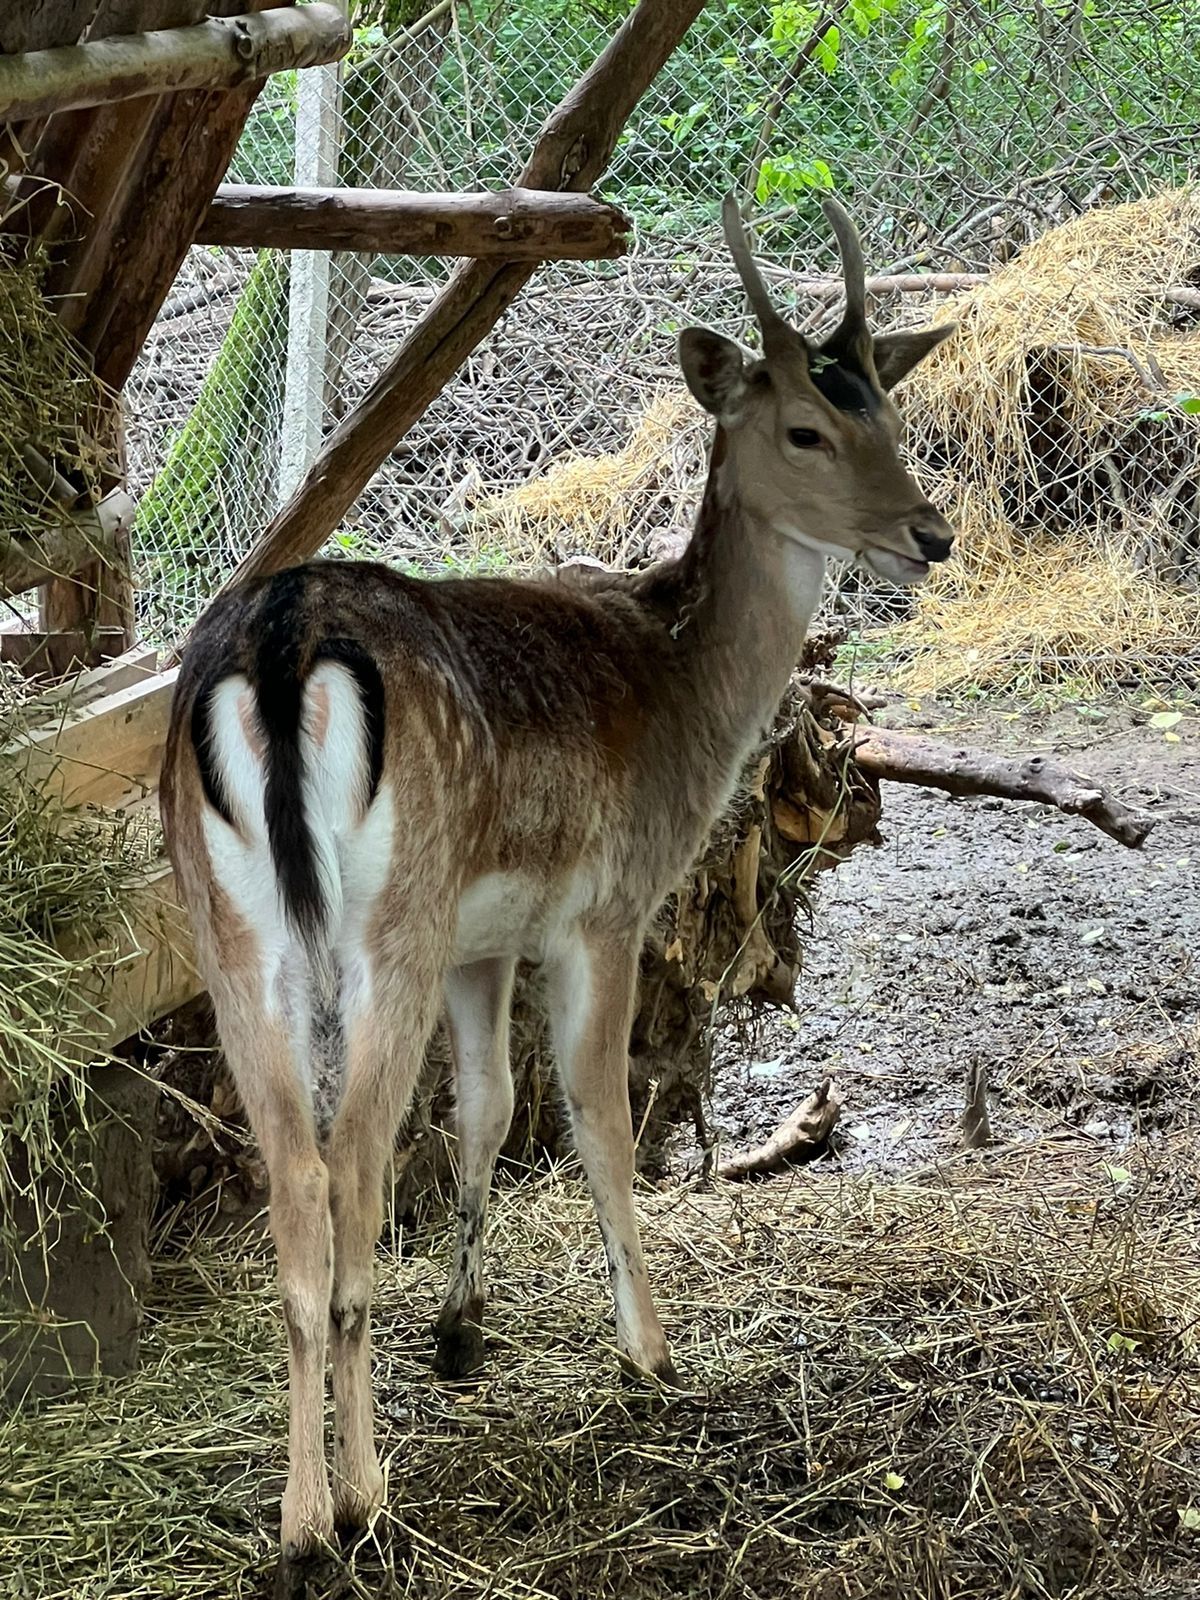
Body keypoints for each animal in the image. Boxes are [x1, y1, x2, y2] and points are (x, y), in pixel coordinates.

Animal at [157, 196, 960, 1587]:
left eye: (887, 412)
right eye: (806, 426)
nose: (930, 532)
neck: (681, 692)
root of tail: (275, 648)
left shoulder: (489, 937)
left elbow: (484, 1108)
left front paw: (465, 1331)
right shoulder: (604, 907)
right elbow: (595, 1116)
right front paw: (651, 1345)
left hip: (233, 930)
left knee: (299, 1187)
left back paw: (298, 1520)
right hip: (388, 925)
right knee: (352, 1173)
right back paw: (360, 1501)